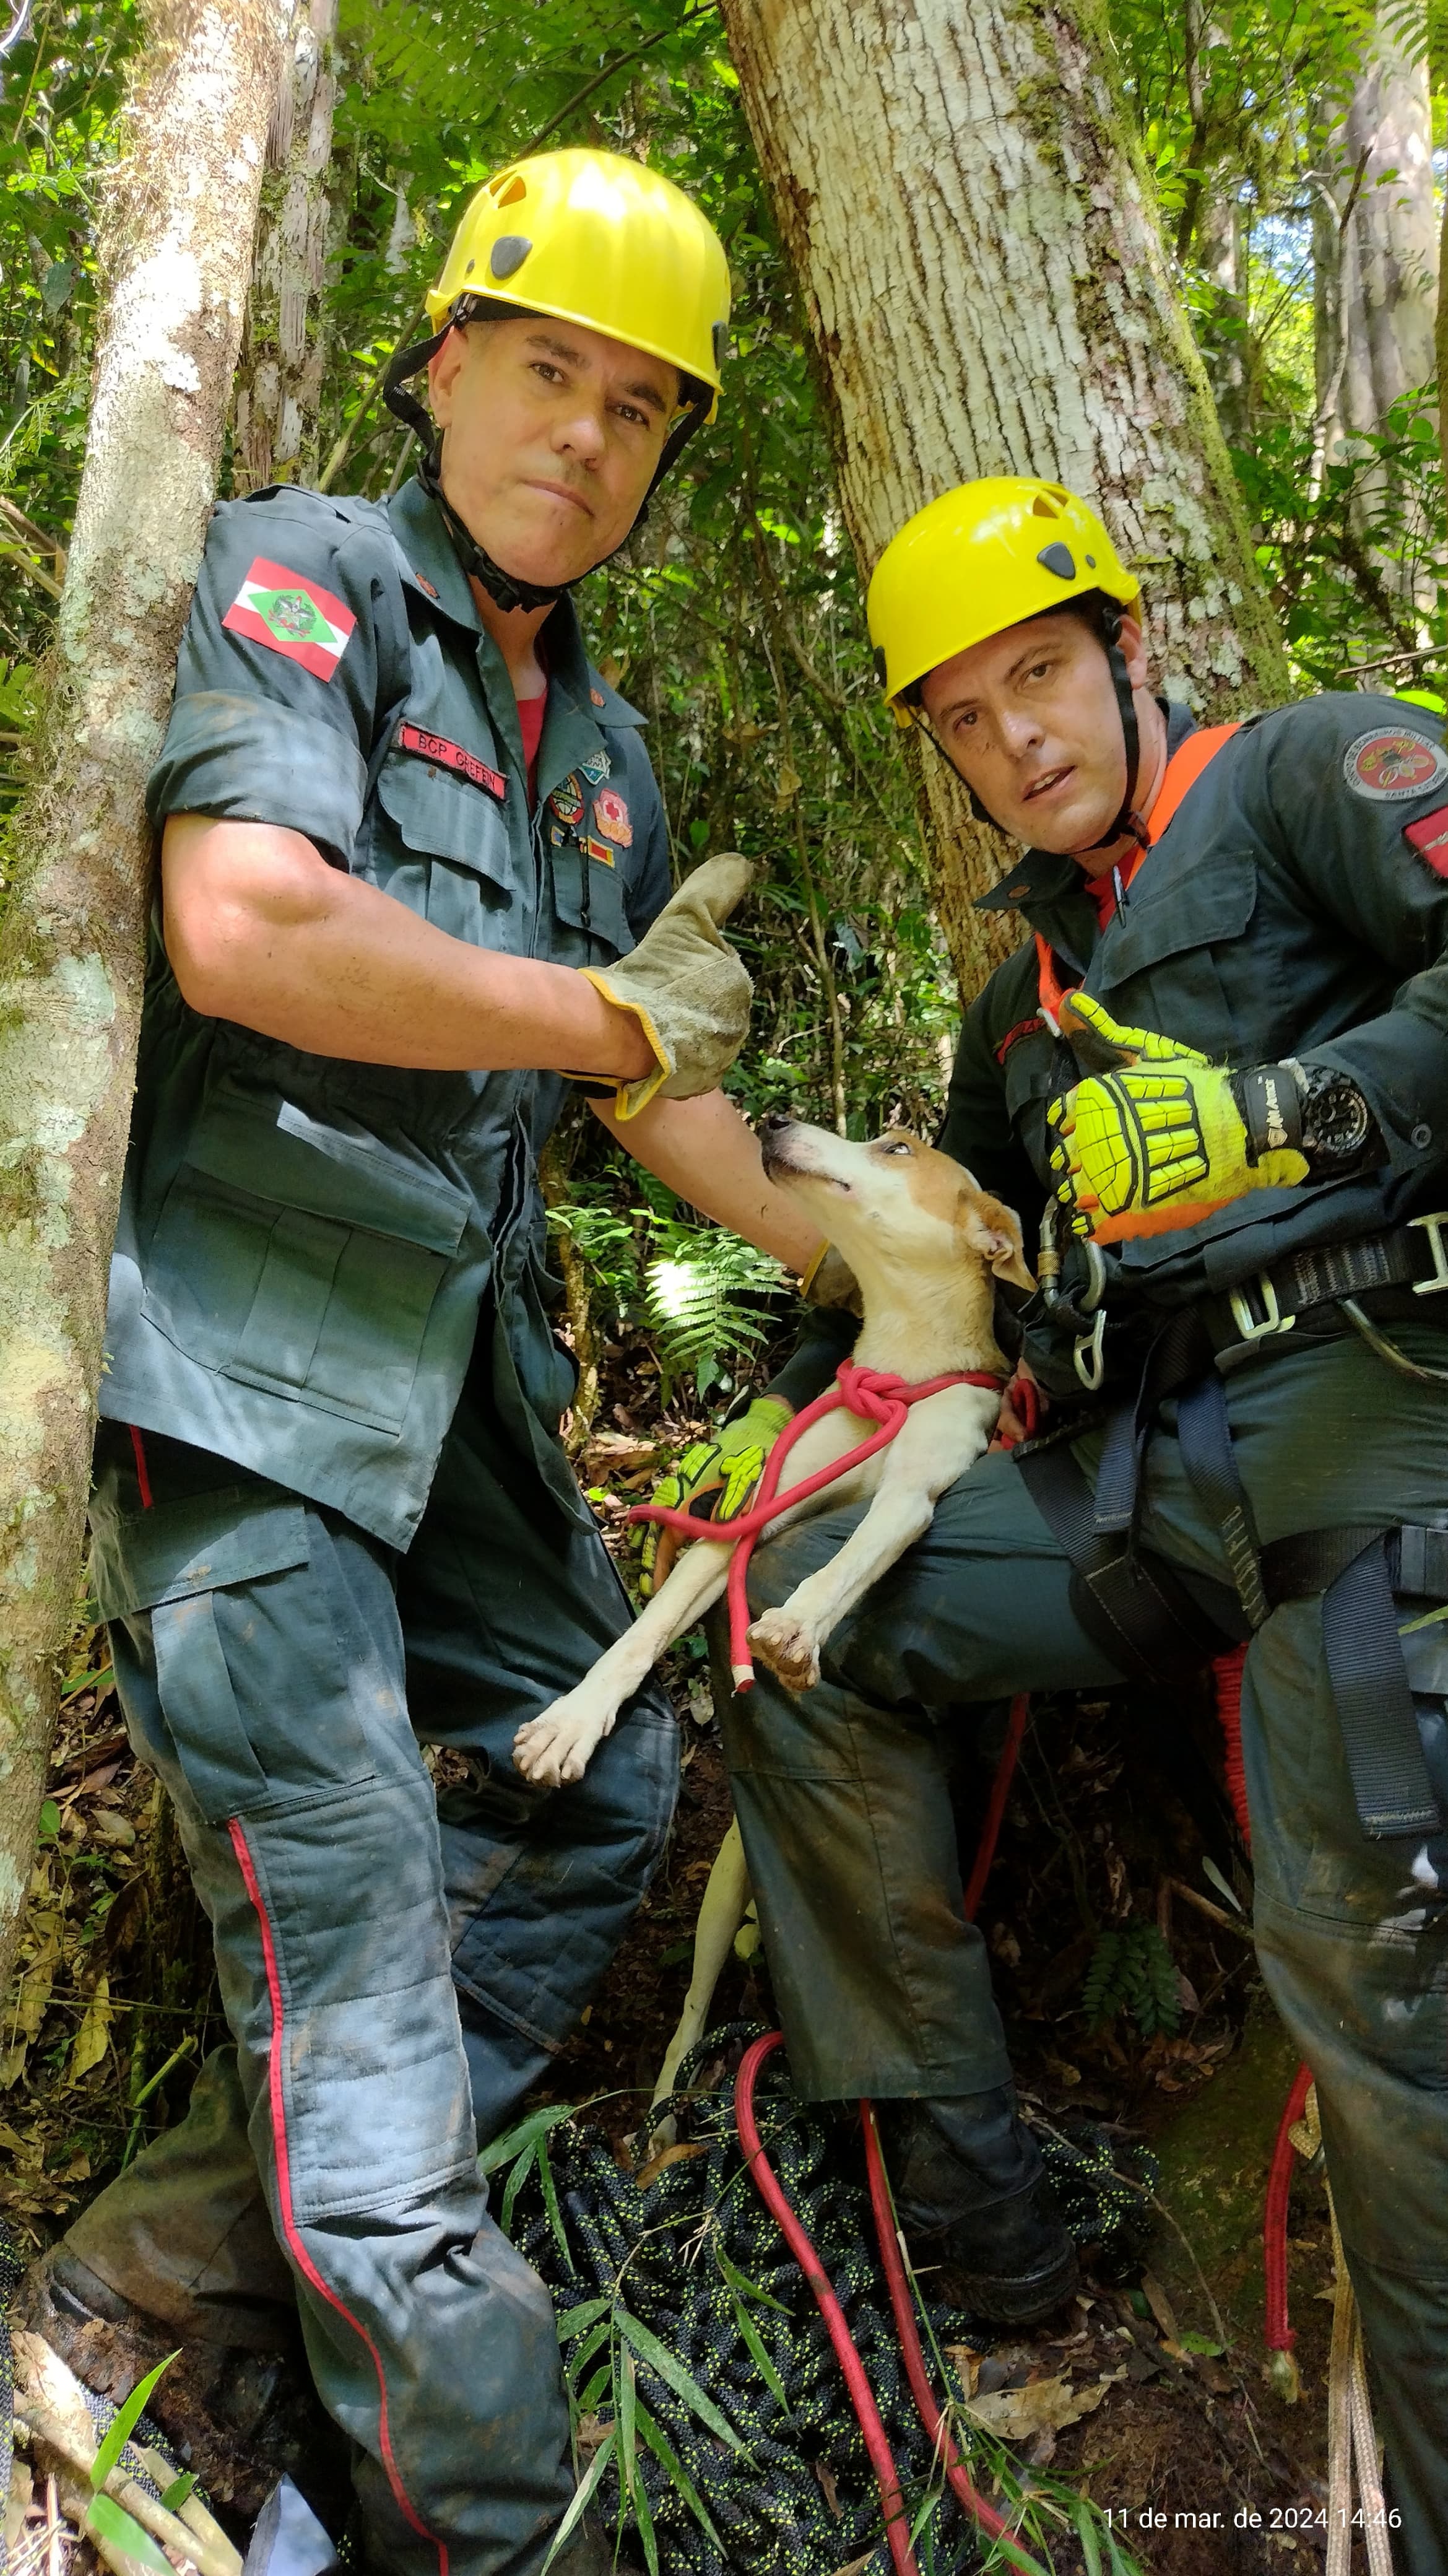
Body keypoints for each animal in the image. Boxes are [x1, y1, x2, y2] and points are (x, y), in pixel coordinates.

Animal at [507, 1118, 1025, 1803]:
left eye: (896, 1148)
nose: (776, 1121)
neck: (894, 1372)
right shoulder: (750, 1511)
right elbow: (642, 1633)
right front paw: (572, 1719)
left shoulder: (912, 1490)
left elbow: (847, 1561)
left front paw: (797, 1625)